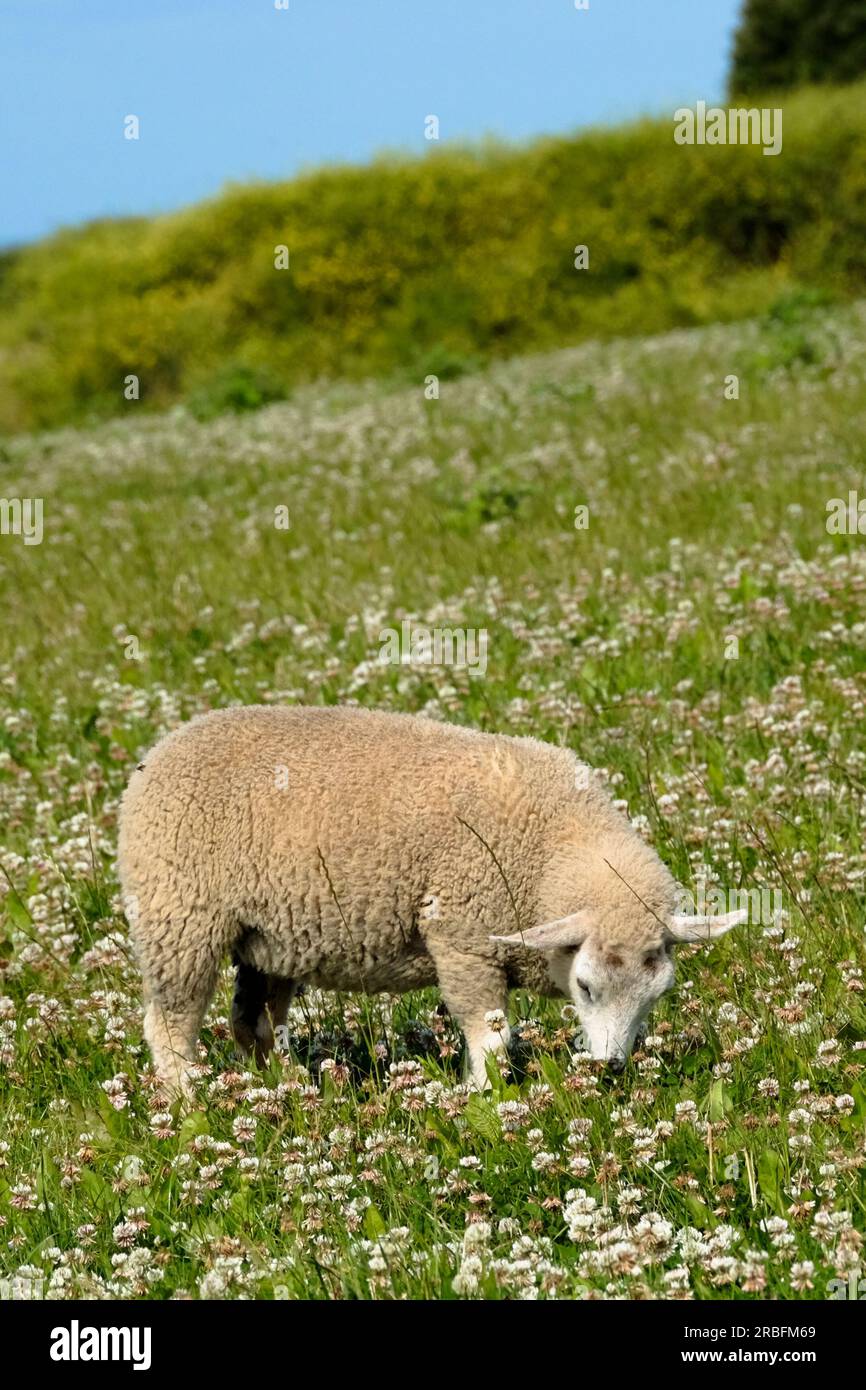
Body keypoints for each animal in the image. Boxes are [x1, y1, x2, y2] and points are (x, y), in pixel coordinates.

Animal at [117, 705, 745, 1095]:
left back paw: (280, 1088)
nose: (612, 1068)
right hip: (179, 915)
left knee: (254, 1022)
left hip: (269, 936)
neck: (552, 842)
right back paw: (190, 1102)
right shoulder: (465, 938)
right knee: (169, 1024)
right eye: (586, 987)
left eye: (657, 994)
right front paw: (482, 1095)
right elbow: (491, 1036)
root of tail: (160, 751)